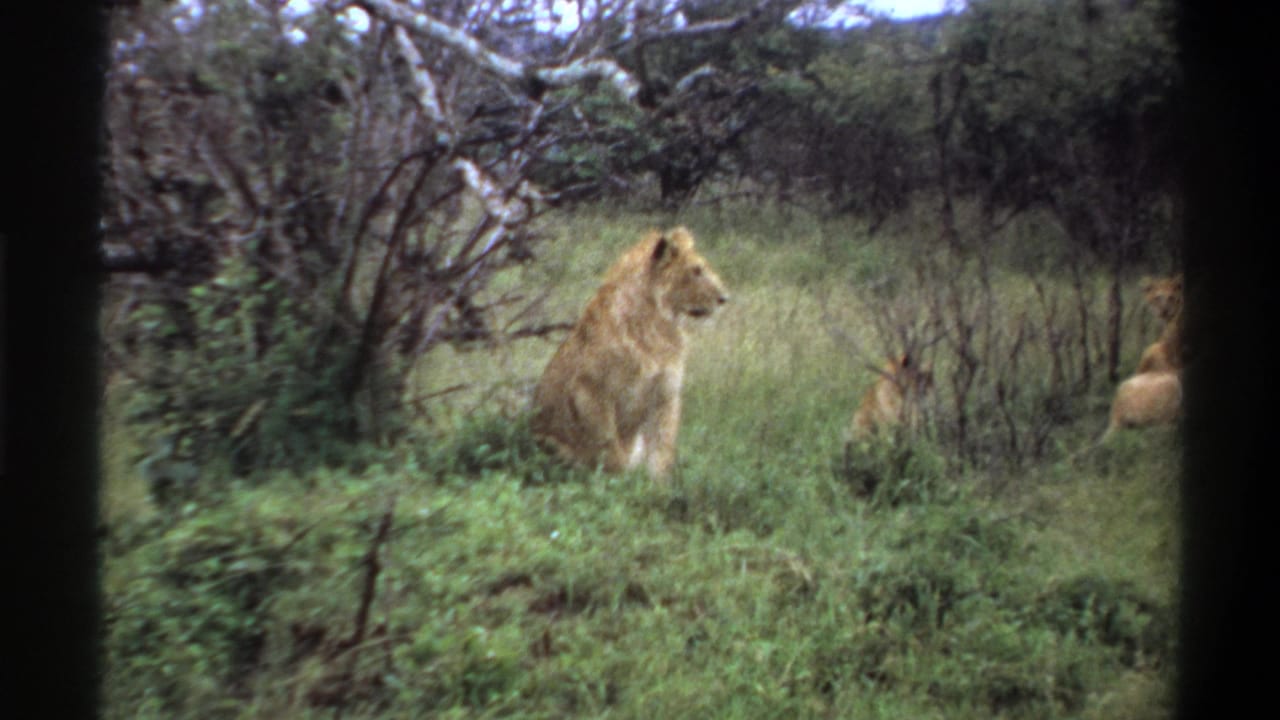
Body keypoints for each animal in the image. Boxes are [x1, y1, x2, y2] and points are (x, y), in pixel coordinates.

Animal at [531, 226, 729, 480]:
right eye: (696, 271)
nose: (724, 298)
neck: (657, 324)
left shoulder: (666, 394)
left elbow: (662, 451)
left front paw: (656, 486)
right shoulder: (590, 392)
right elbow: (610, 449)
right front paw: (621, 483)